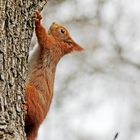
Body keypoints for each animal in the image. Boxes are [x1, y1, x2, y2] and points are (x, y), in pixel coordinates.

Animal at [24, 11, 83, 140]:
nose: (54, 22)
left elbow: (42, 35)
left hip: (31, 93)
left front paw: (38, 20)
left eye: (62, 31)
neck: (59, 44)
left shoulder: (49, 46)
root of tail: (38, 125)